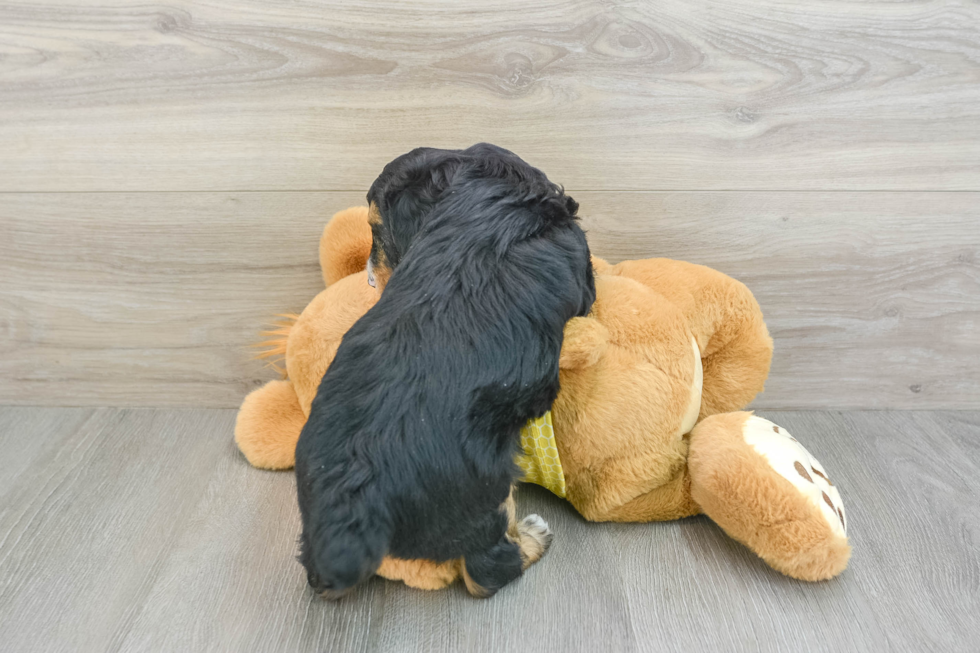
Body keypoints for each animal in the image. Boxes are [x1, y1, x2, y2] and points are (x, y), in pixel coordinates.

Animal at [294, 143, 592, 596]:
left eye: (378, 235)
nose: (370, 281)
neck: (493, 187)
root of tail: (356, 498)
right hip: (484, 487)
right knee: (484, 572)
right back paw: (532, 540)